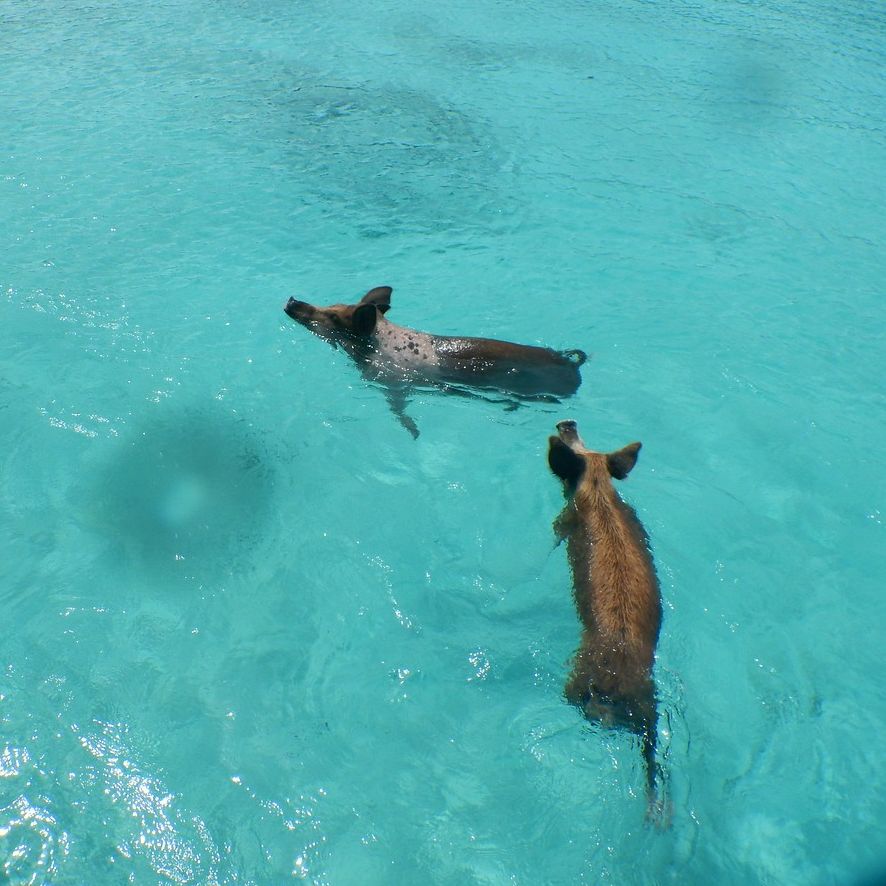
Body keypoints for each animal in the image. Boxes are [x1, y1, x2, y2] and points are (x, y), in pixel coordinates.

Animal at [286, 286, 588, 438]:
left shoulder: (394, 385)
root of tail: (575, 366)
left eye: (334, 318)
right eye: (332, 305)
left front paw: (414, 433)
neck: (378, 345)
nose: (291, 300)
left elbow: (400, 413)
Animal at [548, 420, 664, 824]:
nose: (567, 424)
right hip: (650, 708)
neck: (599, 489)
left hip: (575, 680)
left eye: (577, 445)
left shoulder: (565, 521)